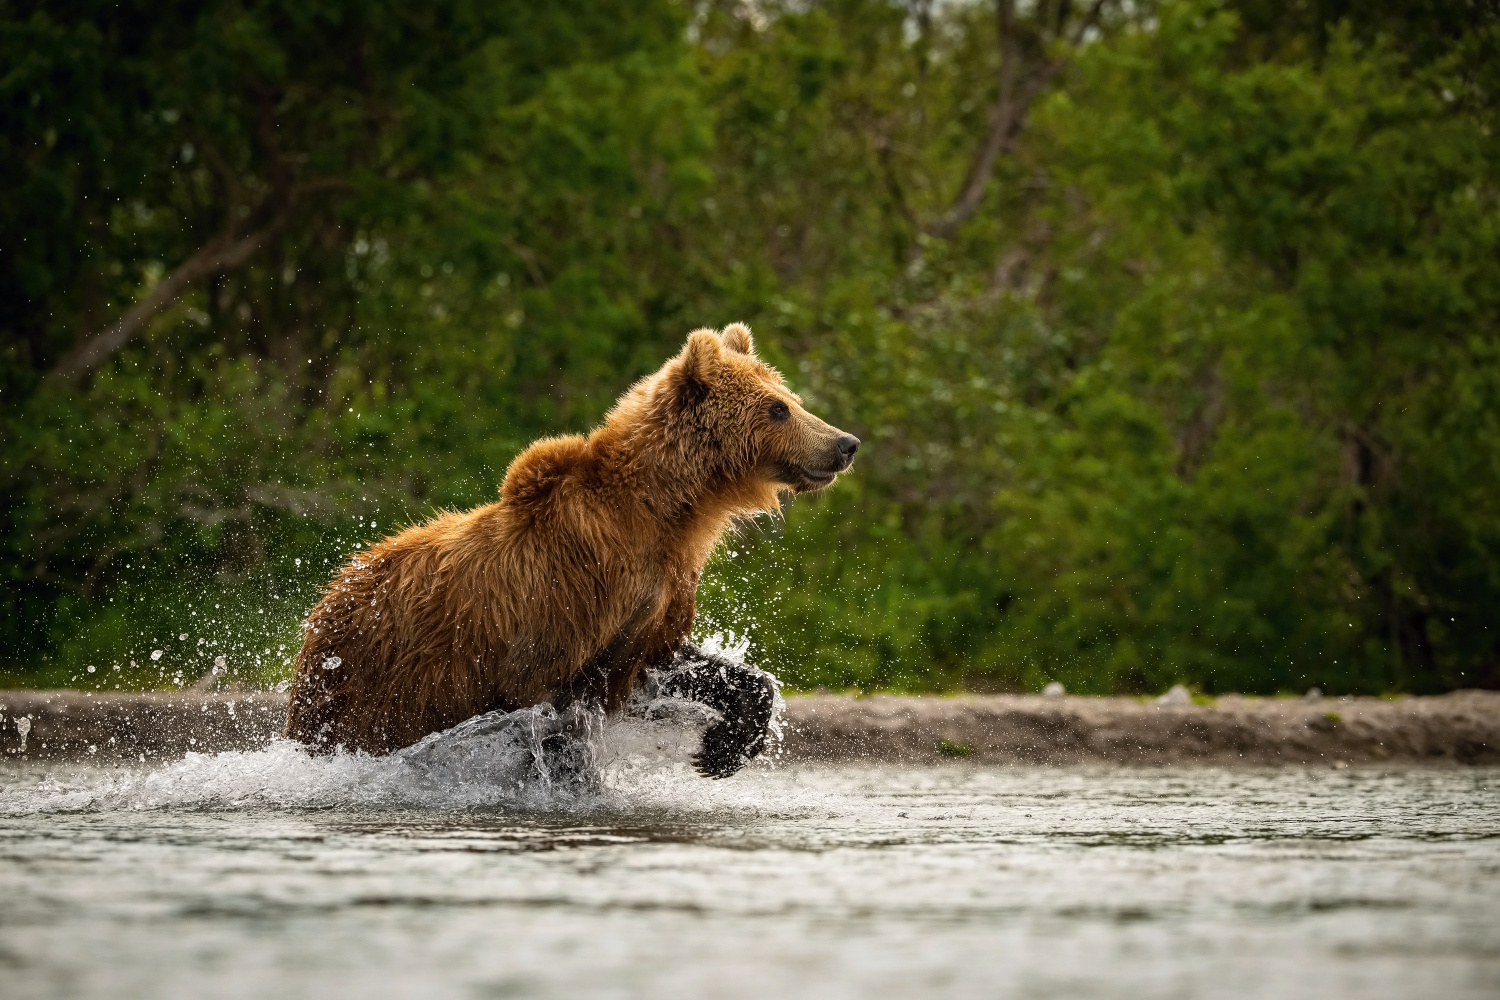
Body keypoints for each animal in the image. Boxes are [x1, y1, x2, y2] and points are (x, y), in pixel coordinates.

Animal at [286, 325, 864, 779]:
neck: (665, 516)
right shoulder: (568, 595)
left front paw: (723, 746)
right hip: (370, 684)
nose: (845, 443)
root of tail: (326, 598)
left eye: (788, 397)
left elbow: (668, 662)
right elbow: (554, 709)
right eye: (778, 408)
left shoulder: (651, 600)